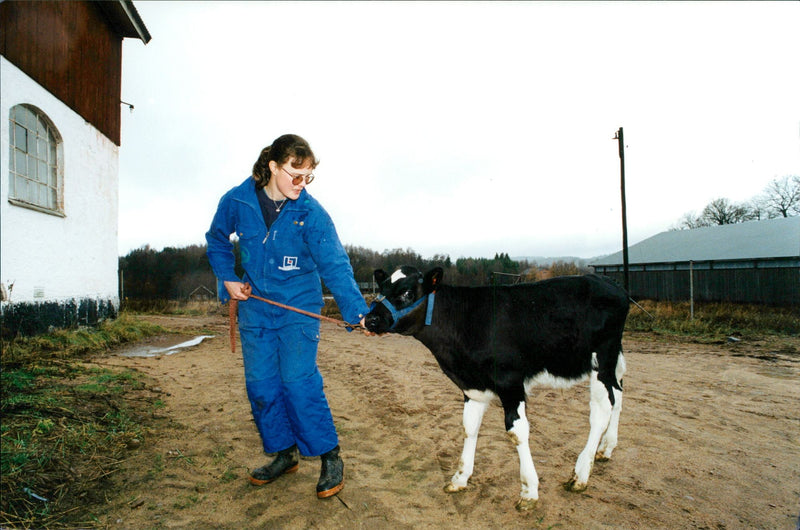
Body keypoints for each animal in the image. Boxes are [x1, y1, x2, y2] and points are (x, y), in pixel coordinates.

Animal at [364, 266, 632, 510]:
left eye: (407, 292)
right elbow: (469, 428)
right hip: (610, 360)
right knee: (618, 396)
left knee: (602, 409)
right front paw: (460, 478)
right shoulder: (473, 387)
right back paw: (606, 449)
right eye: (382, 288)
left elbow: (517, 432)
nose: (370, 319)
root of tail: (607, 281)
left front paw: (529, 491)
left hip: (602, 357)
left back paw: (580, 475)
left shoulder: (510, 382)